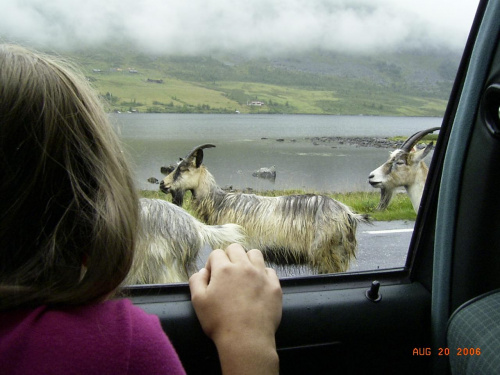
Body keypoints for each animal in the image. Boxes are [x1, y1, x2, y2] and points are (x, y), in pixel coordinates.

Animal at [158, 144, 370, 276]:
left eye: (183, 169)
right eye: (176, 167)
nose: (162, 184)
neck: (220, 203)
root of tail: (348, 214)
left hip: (329, 254)